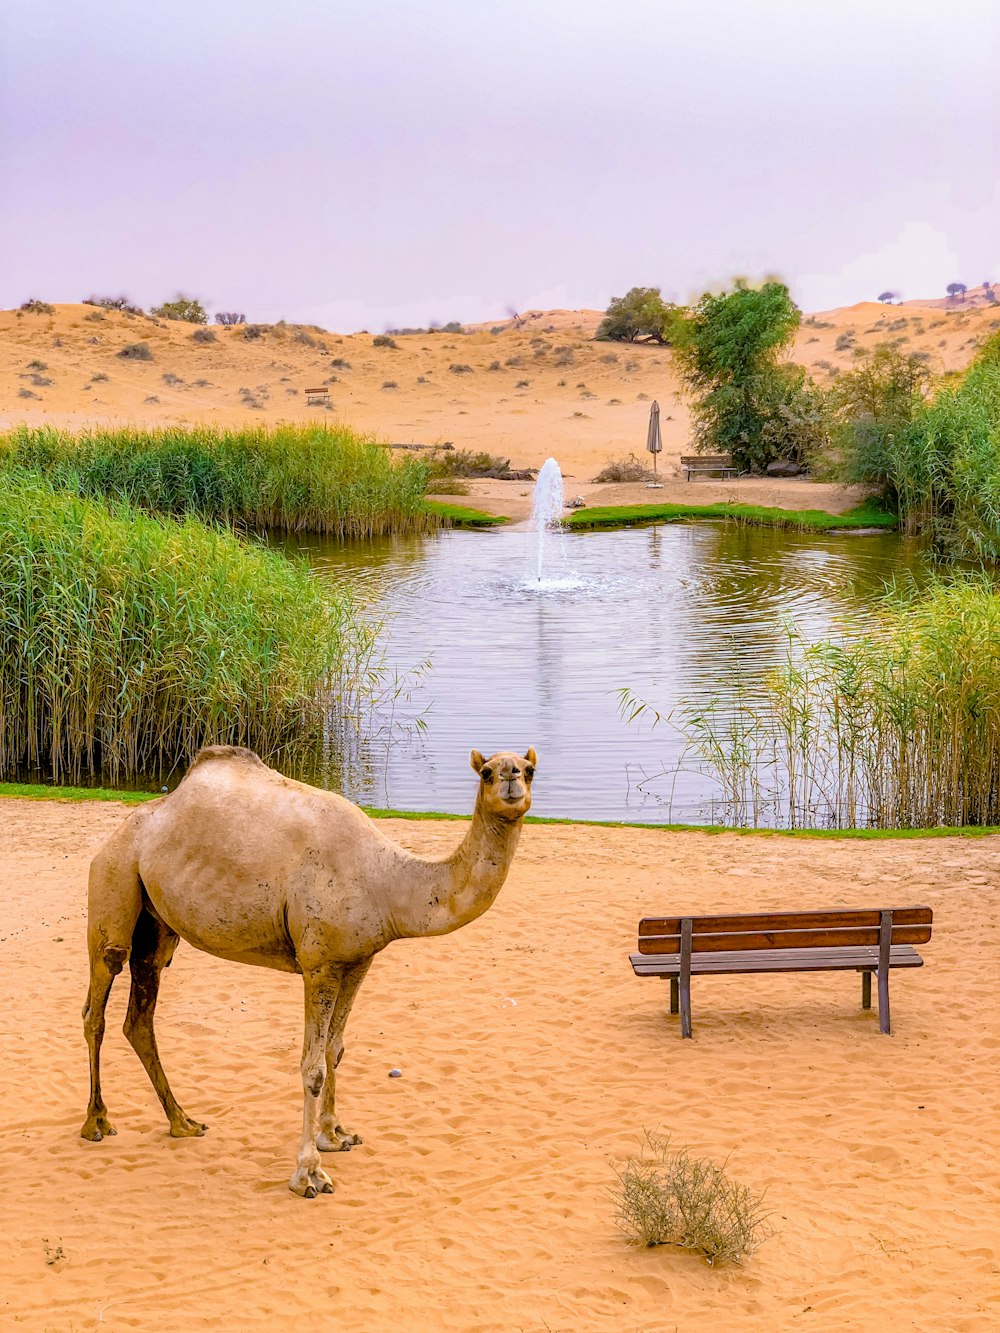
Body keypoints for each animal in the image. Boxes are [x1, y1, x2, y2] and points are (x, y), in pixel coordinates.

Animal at [84, 741, 541, 1199]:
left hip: (158, 927)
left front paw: (335, 1135)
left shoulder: (358, 960)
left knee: (140, 1016)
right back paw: (97, 1122)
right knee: (97, 1003)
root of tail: (122, 831)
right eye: (486, 772)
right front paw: (309, 1174)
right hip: (113, 882)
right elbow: (313, 1066)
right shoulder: (318, 963)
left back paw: (182, 1122)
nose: (511, 779)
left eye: (529, 769)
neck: (387, 882)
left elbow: (335, 1049)